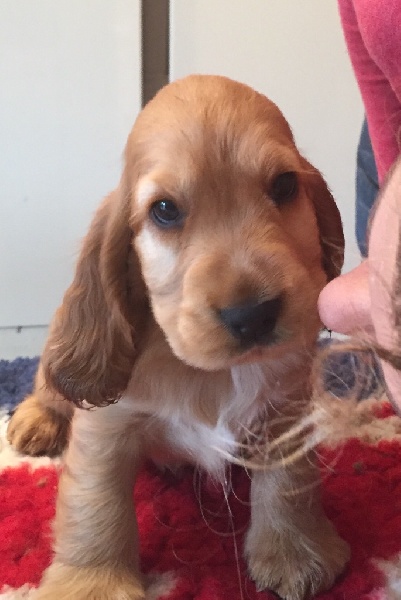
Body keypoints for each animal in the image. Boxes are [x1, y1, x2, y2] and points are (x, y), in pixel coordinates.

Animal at [8, 75, 349, 600]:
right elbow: (96, 505)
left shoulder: (285, 409)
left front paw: (295, 551)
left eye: (285, 185)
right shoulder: (106, 428)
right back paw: (35, 421)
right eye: (164, 210)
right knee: (51, 387)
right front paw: (91, 582)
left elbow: (290, 481)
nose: (253, 315)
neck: (215, 374)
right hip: (61, 356)